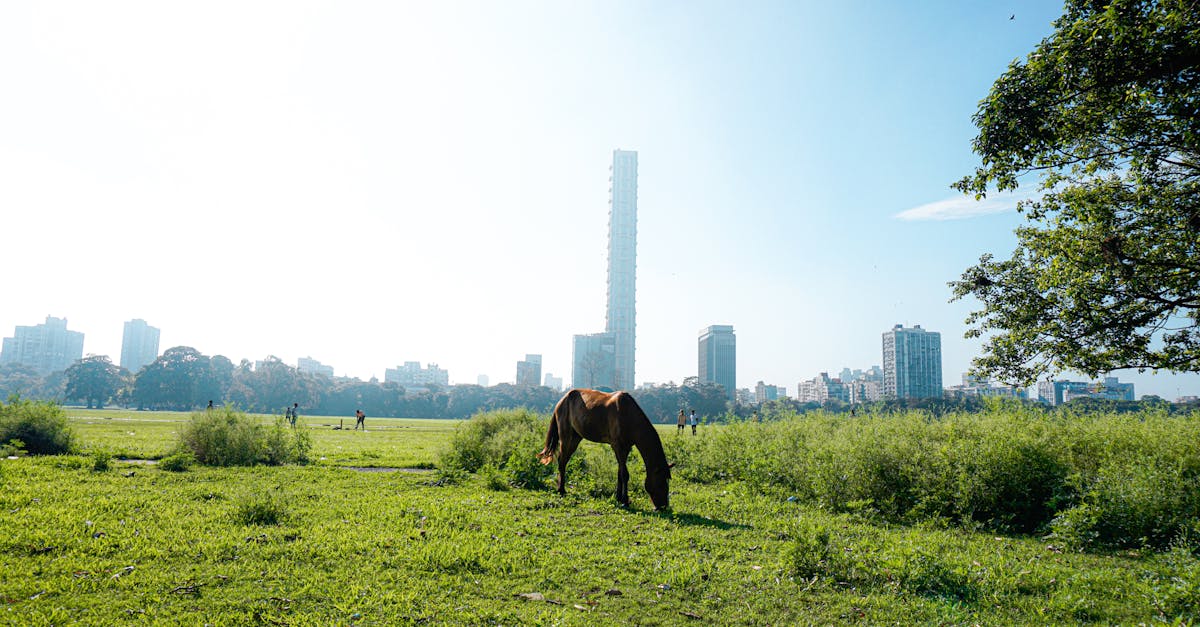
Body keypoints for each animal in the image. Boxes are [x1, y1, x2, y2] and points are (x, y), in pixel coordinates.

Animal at [537, 384, 672, 506]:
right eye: (661, 482)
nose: (663, 506)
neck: (628, 415)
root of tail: (561, 401)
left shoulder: (626, 448)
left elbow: (620, 472)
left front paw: (618, 497)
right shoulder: (618, 446)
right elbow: (625, 474)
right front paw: (625, 500)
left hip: (575, 438)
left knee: (564, 460)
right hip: (566, 436)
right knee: (561, 461)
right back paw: (561, 490)